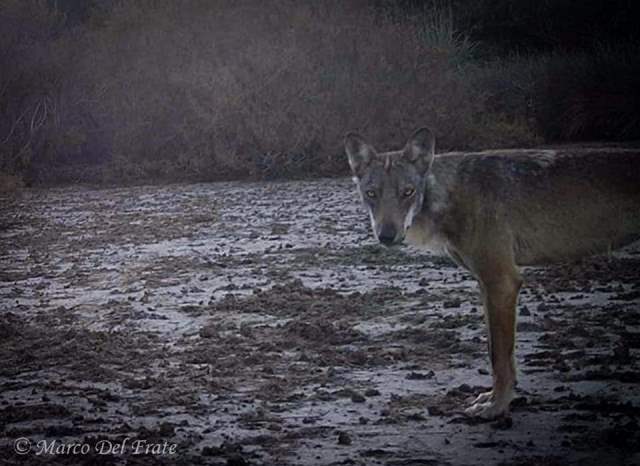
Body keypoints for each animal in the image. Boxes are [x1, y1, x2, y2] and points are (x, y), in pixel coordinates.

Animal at [344, 127, 640, 418]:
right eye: (371, 193)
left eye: (408, 192)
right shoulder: (486, 286)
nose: (386, 236)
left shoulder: (502, 282)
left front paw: (496, 406)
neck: (453, 195)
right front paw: (494, 399)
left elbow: (499, 355)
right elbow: (495, 353)